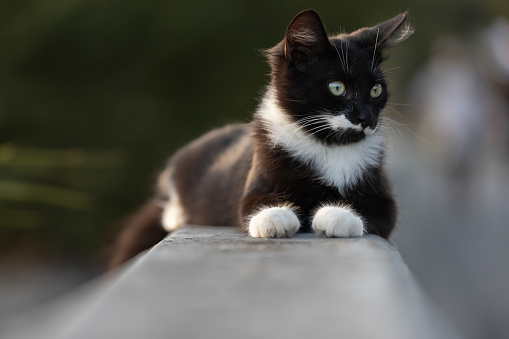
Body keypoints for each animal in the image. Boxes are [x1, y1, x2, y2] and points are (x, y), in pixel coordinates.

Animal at [108, 9, 412, 268]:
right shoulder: (260, 169)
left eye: (376, 90)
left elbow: (379, 211)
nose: (367, 118)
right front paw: (275, 217)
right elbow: (251, 203)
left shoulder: (383, 195)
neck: (329, 144)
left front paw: (337, 215)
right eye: (337, 87)